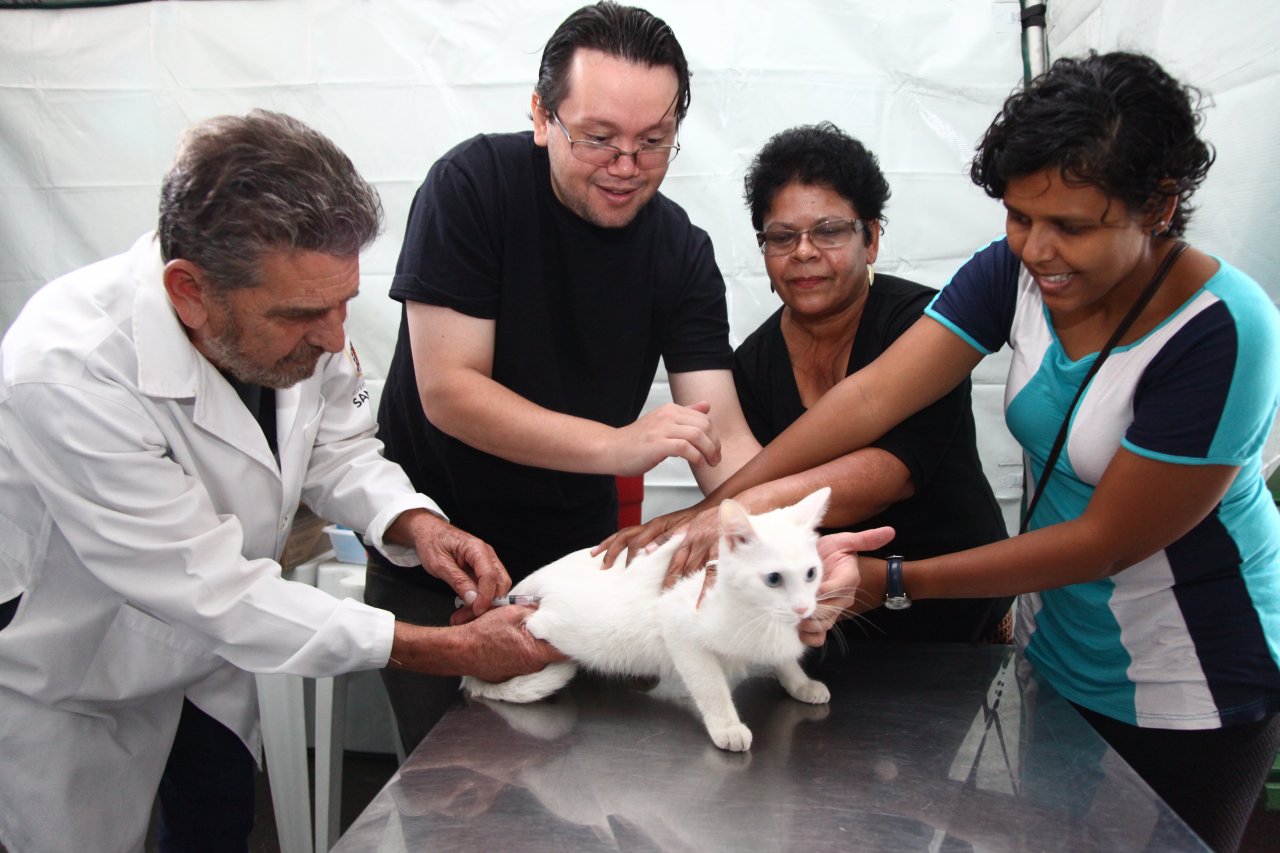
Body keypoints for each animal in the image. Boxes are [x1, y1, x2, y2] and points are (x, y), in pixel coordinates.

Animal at [465, 489, 834, 747]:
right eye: (773, 578)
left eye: (811, 573)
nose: (803, 608)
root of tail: (532, 581)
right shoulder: (678, 626)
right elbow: (711, 686)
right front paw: (727, 726)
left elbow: (785, 659)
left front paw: (801, 683)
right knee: (543, 623)